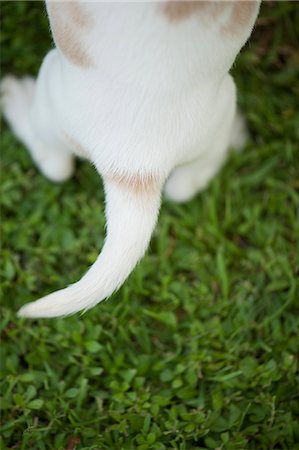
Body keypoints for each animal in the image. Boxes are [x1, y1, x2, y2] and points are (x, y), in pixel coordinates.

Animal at [1, 0, 262, 316]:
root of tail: (137, 166)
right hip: (219, 110)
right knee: (186, 185)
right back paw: (236, 135)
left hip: (50, 82)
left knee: (55, 165)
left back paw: (16, 100)